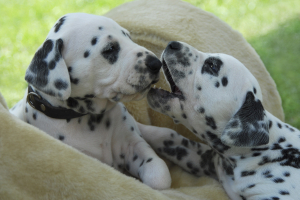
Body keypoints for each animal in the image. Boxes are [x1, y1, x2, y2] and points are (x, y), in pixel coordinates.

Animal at [9, 13, 185, 190]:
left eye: (128, 37)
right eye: (109, 49)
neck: (88, 118)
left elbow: (159, 174)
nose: (157, 63)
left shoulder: (132, 144)